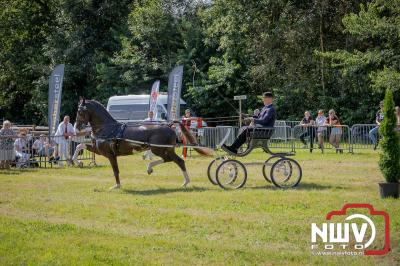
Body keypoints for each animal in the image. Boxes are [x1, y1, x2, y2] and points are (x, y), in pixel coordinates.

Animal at [75, 99, 212, 189]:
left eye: (80, 112)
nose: (77, 127)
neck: (108, 128)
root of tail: (168, 126)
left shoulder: (110, 154)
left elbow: (115, 170)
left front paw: (117, 186)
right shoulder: (99, 150)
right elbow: (79, 146)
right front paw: (78, 162)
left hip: (159, 149)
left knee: (174, 160)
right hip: (166, 149)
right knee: (175, 160)